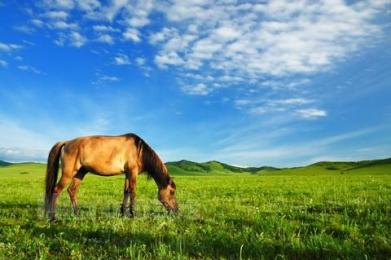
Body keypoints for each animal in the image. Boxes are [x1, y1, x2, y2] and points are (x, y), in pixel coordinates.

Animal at [44, 133, 178, 220]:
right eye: (172, 192)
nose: (177, 211)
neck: (139, 151)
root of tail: (67, 142)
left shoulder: (127, 173)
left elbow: (126, 191)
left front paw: (123, 213)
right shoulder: (132, 172)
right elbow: (133, 192)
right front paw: (133, 214)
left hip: (80, 173)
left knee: (71, 191)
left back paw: (77, 213)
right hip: (68, 174)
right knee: (56, 190)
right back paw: (53, 217)